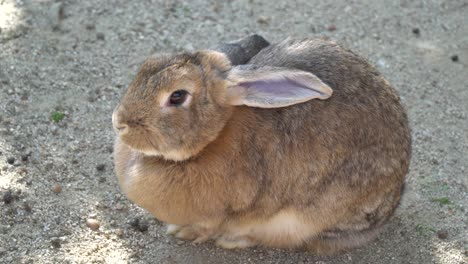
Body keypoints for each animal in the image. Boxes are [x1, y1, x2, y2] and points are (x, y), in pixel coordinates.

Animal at [112, 37, 410, 256]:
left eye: (177, 96)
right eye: (148, 64)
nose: (119, 122)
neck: (213, 137)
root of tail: (392, 205)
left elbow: (213, 225)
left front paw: (186, 232)